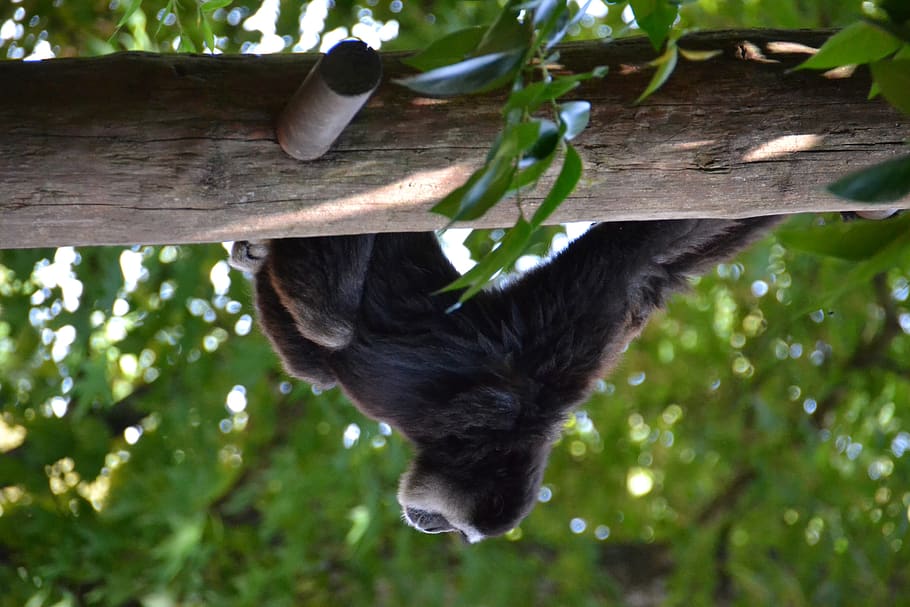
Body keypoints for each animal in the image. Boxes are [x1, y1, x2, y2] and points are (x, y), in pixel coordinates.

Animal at [230, 218, 781, 542]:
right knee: (328, 322)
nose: (431, 529)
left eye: (448, 525)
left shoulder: (594, 328)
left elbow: (656, 259)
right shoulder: (526, 382)